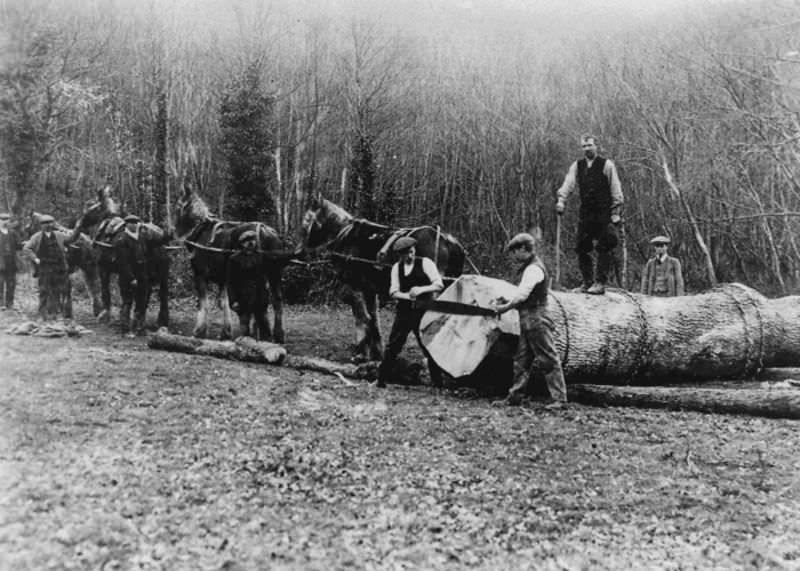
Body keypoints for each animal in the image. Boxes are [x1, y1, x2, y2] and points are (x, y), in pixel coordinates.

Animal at [72, 189, 171, 330]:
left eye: (91, 207)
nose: (79, 222)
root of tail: (157, 241)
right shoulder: (122, 271)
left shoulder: (103, 268)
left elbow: (106, 292)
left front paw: (105, 315)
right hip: (161, 274)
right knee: (160, 295)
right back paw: (157, 321)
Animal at [173, 185, 292, 342]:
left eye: (178, 206)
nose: (174, 231)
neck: (201, 231)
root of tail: (267, 231)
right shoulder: (223, 278)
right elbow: (225, 303)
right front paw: (226, 332)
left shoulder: (200, 275)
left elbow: (204, 304)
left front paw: (199, 331)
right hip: (274, 273)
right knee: (277, 300)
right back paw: (277, 335)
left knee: (261, 303)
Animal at [296, 194, 466, 360]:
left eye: (307, 220)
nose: (297, 252)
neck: (344, 235)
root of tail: (446, 240)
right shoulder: (369, 289)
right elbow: (373, 318)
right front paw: (377, 352)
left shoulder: (352, 287)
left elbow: (361, 318)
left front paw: (361, 352)